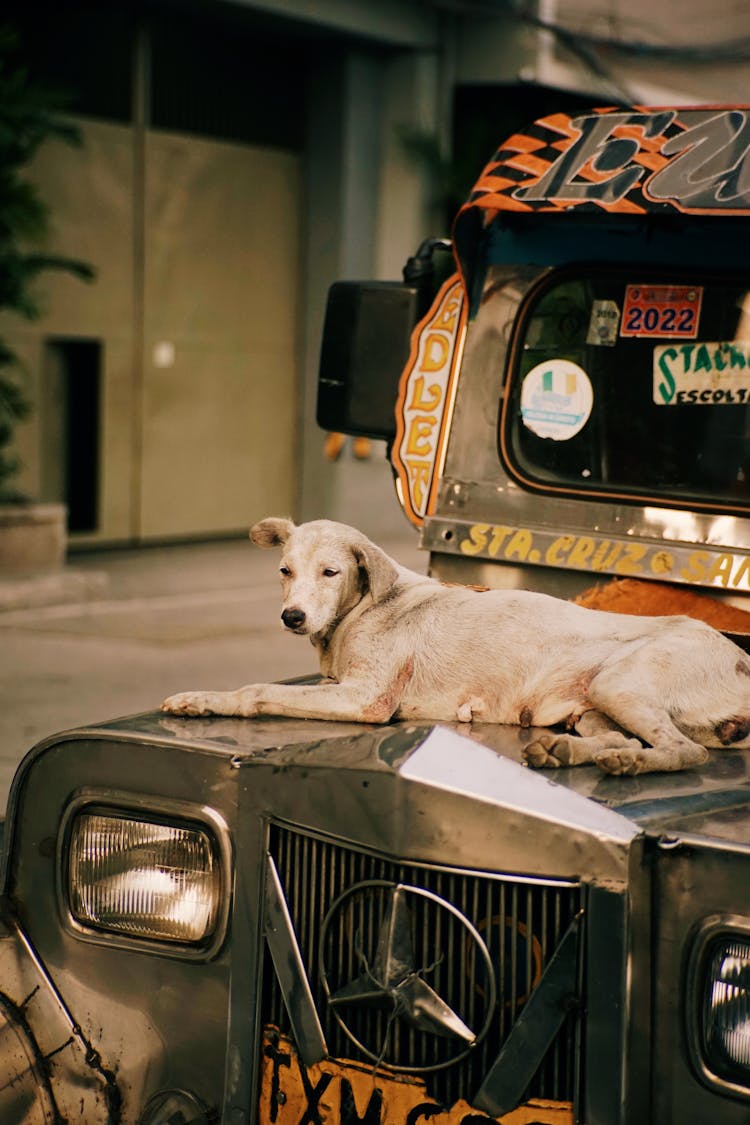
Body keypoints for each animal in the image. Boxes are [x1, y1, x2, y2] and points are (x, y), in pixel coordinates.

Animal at [161, 515, 750, 774]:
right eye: (284, 571)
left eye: (330, 572)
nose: (292, 616)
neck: (365, 607)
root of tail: (740, 656)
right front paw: (196, 699)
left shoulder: (364, 698)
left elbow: (257, 689)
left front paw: (208, 699)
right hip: (593, 705)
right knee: (624, 738)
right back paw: (567, 751)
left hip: (620, 682)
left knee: (685, 751)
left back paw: (628, 763)